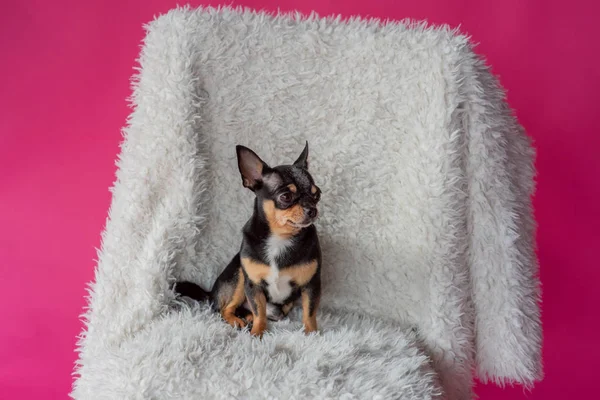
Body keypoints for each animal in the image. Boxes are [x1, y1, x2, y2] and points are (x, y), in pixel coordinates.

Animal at [176, 142, 322, 336]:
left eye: (317, 195)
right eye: (286, 197)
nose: (312, 210)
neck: (280, 238)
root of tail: (210, 293)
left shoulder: (311, 286)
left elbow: (309, 313)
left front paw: (311, 334)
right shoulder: (253, 285)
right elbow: (259, 312)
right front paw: (257, 333)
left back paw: (247, 317)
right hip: (238, 276)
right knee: (224, 309)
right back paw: (237, 320)